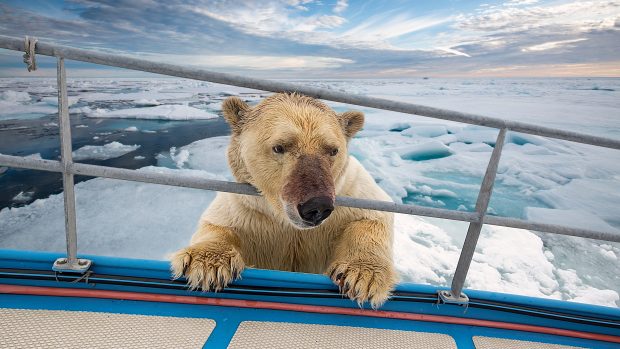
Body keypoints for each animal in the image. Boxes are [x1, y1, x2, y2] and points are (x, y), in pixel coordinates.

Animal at [170, 92, 394, 308]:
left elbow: (372, 217)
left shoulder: (350, 191)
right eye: (279, 147)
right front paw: (206, 264)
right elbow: (217, 223)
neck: (286, 222)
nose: (317, 206)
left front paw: (363, 275)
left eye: (333, 150)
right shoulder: (246, 208)